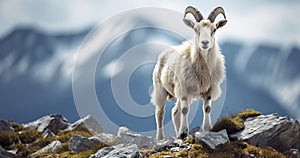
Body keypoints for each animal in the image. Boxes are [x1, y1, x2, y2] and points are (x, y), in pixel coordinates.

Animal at [151, 6, 226, 139]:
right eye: (196, 29)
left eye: (214, 29)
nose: (205, 43)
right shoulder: (184, 88)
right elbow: (185, 110)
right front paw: (183, 132)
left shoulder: (209, 89)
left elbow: (207, 108)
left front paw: (207, 129)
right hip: (161, 89)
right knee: (160, 112)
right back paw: (160, 137)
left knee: (175, 112)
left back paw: (177, 135)